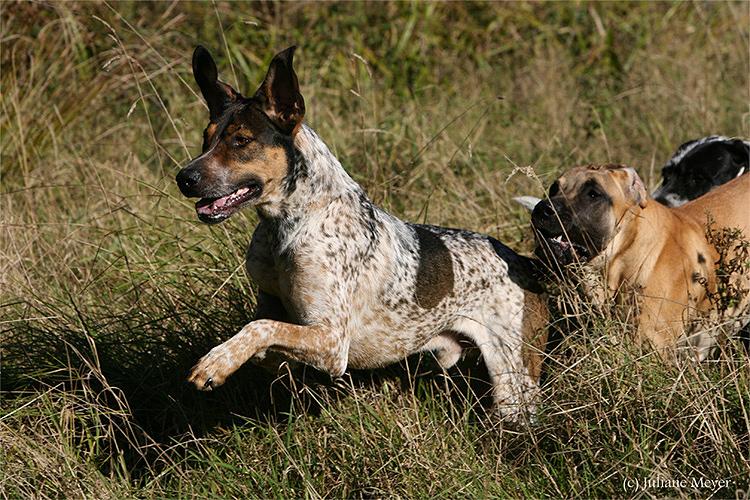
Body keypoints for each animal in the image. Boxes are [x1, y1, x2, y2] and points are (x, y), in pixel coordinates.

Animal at [177, 46, 552, 422]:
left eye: (241, 141)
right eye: (205, 139)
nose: (184, 178)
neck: (288, 226)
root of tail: (526, 263)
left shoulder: (331, 343)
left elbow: (260, 328)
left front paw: (215, 363)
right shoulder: (278, 317)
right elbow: (262, 336)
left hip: (513, 385)